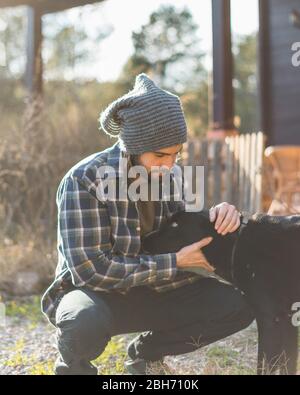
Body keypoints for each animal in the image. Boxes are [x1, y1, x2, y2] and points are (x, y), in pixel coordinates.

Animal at [142, 209, 300, 376]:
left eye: (175, 224)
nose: (144, 239)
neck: (236, 244)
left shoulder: (271, 319)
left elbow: (265, 365)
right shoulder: (287, 320)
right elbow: (288, 363)